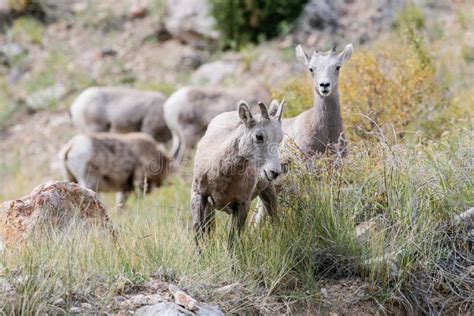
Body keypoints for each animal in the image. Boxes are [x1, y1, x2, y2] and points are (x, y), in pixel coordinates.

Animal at [191, 99, 284, 249]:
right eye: (259, 136)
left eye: (280, 138)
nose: (274, 172)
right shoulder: (199, 195)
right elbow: (198, 234)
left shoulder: (242, 204)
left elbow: (232, 241)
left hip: (268, 190)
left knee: (273, 216)